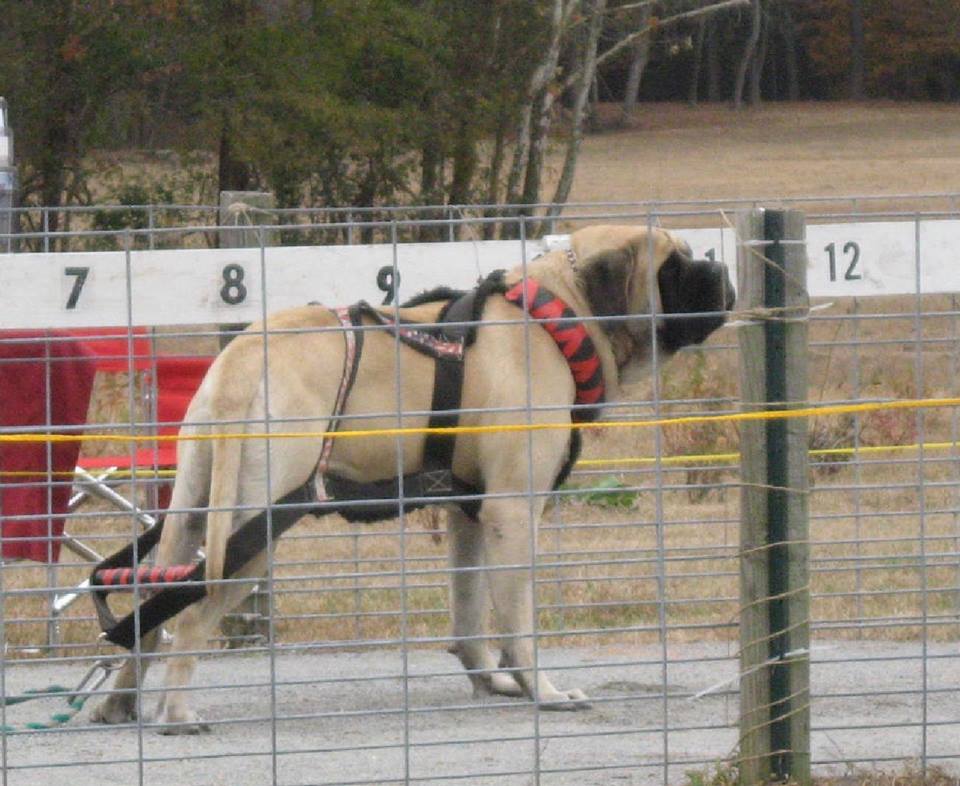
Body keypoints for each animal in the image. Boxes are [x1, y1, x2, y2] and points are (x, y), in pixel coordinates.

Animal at [92, 224, 736, 732]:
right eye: (672, 265)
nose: (720, 267)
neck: (559, 314)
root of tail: (242, 361)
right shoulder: (512, 511)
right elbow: (517, 621)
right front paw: (542, 691)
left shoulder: (470, 516)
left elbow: (470, 615)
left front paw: (493, 682)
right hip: (250, 533)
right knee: (190, 615)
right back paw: (177, 714)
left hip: (190, 512)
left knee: (149, 608)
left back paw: (122, 700)